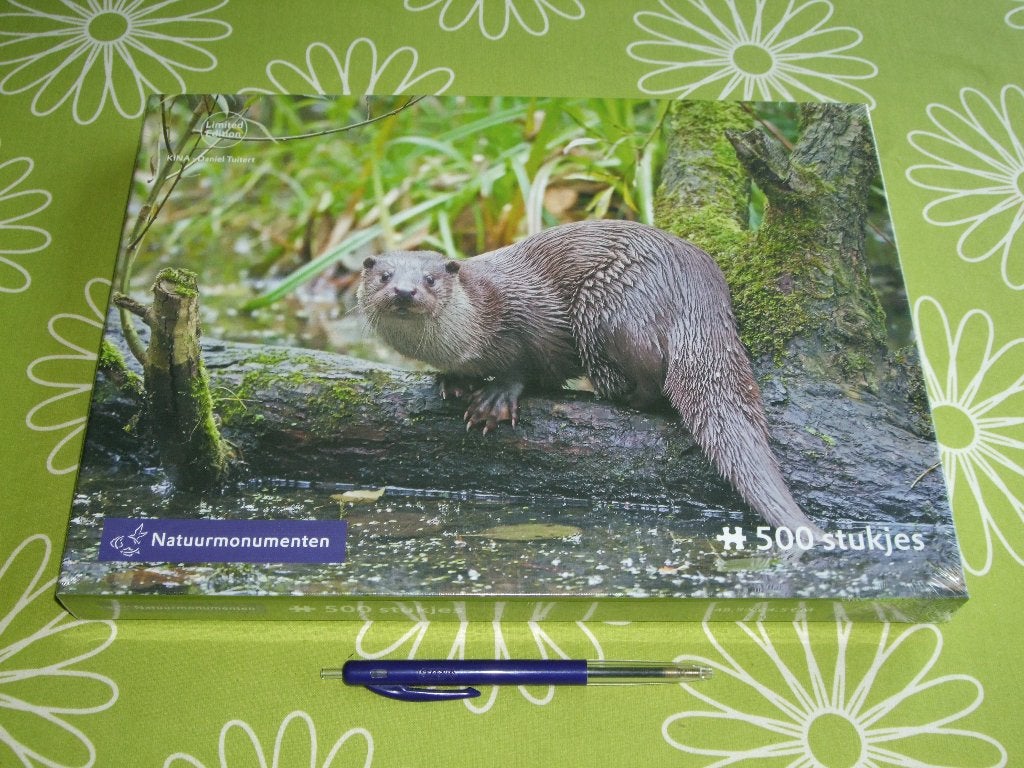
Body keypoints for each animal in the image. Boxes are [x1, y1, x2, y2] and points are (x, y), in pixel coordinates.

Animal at [358, 219, 819, 534]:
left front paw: (495, 397)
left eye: (430, 279)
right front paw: (453, 381)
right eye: (384, 276)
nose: (404, 291)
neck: (472, 328)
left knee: (653, 373)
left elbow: (530, 366)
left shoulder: (528, 318)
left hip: (610, 303)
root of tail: (699, 292)